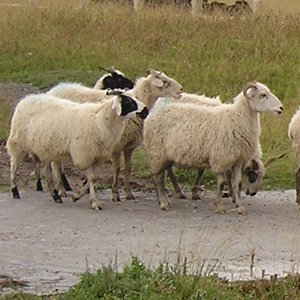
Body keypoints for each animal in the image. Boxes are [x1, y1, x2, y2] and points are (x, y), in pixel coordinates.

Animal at [6, 90, 148, 210]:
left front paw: (77, 195)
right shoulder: (83, 155)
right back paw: (15, 191)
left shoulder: (95, 156)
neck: (100, 120)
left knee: (47, 171)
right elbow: (91, 179)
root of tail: (26, 98)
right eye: (128, 101)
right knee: (14, 165)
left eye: (136, 97)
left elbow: (92, 178)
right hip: (18, 142)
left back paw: (55, 195)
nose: (146, 111)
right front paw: (95, 202)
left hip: (46, 148)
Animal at [144, 81, 284, 214]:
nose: (281, 108)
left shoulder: (238, 159)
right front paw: (220, 206)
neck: (236, 118)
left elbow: (237, 183)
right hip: (157, 152)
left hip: (165, 155)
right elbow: (222, 183)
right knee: (159, 178)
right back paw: (164, 203)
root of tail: (153, 113)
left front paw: (239, 207)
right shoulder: (221, 158)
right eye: (262, 95)